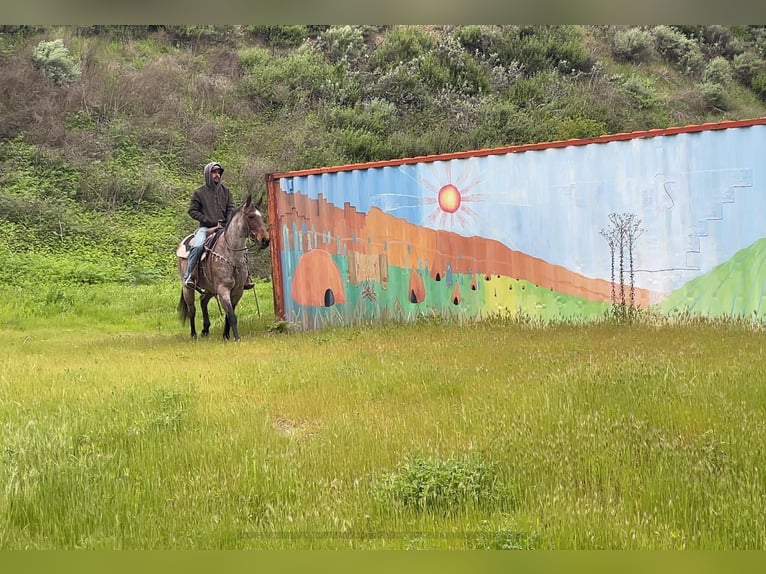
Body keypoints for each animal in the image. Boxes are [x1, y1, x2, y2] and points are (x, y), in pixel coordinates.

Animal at [176, 196, 272, 344]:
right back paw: (193, 335)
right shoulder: (223, 289)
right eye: (251, 216)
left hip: (210, 288)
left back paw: (205, 330)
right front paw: (237, 338)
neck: (231, 255)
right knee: (192, 309)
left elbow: (229, 314)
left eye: (261, 216)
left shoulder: (237, 291)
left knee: (203, 300)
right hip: (188, 288)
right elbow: (231, 315)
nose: (265, 240)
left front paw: (226, 335)